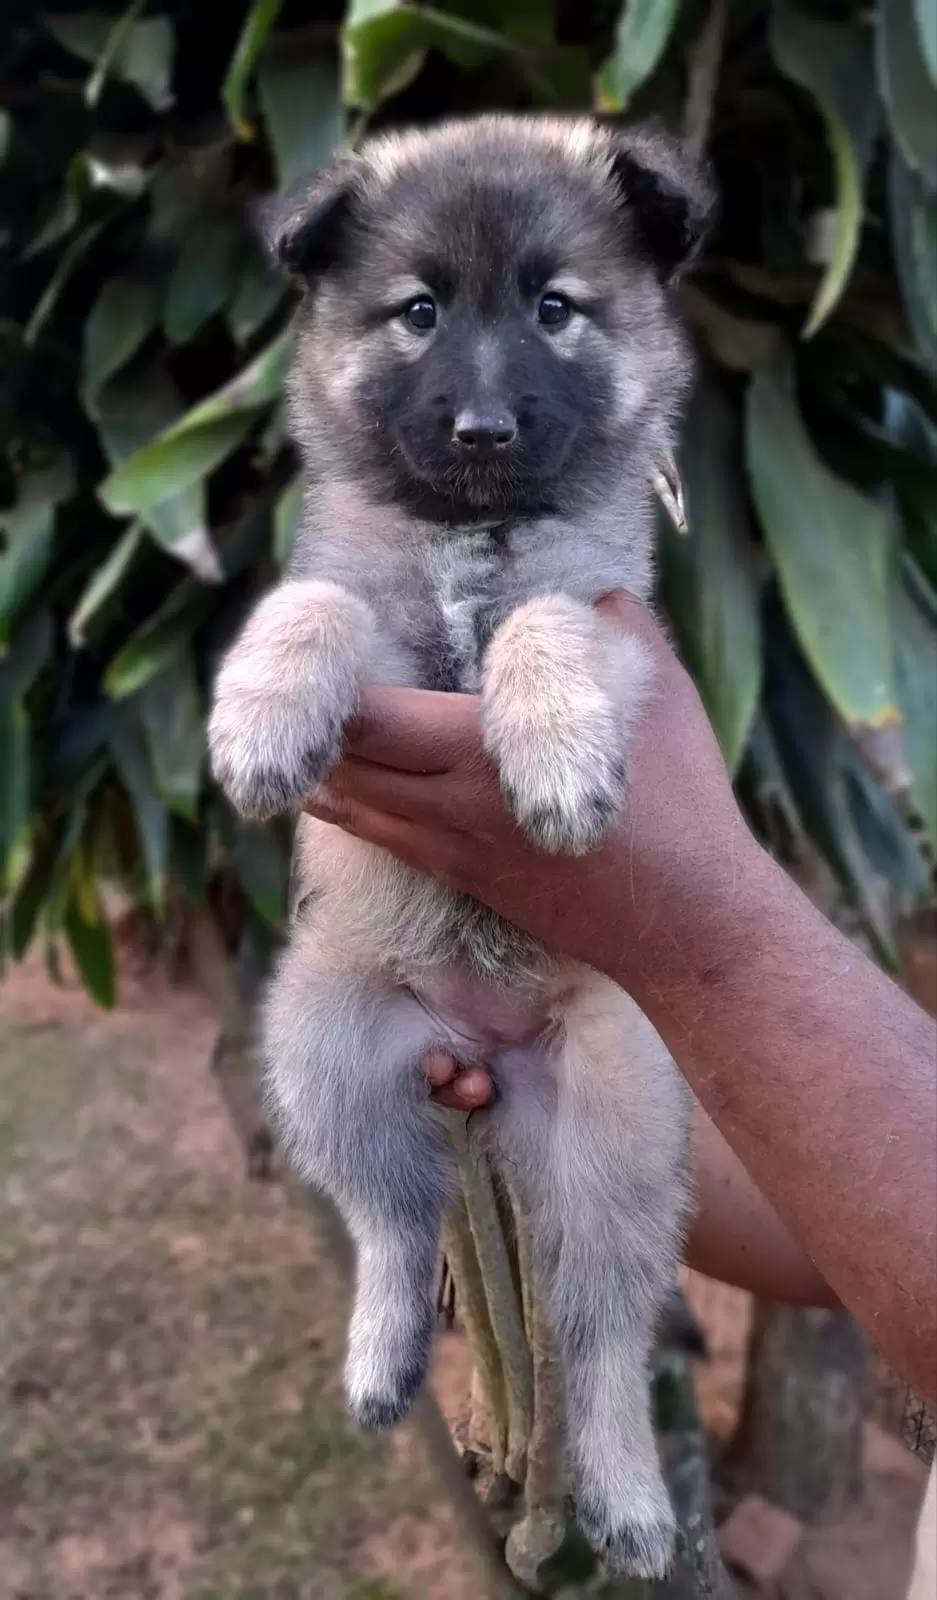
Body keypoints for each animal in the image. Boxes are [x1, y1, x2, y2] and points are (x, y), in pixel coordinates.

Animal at [209, 116, 706, 1574]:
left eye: (555, 309)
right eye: (418, 313)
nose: (484, 426)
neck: (467, 536)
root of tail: (479, 1058)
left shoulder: (613, 624)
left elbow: (546, 625)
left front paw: (552, 755)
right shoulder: (371, 624)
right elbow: (312, 600)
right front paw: (261, 714)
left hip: (618, 1121)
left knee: (601, 1339)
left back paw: (628, 1494)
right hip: (320, 1036)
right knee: (389, 1220)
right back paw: (380, 1356)